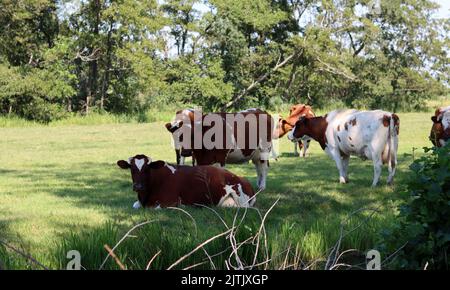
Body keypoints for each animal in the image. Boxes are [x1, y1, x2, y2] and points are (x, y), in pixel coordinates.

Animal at [116, 154, 256, 208]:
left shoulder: (170, 202)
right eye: (132, 168)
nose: (138, 186)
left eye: (147, 169)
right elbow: (135, 205)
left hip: (241, 199)